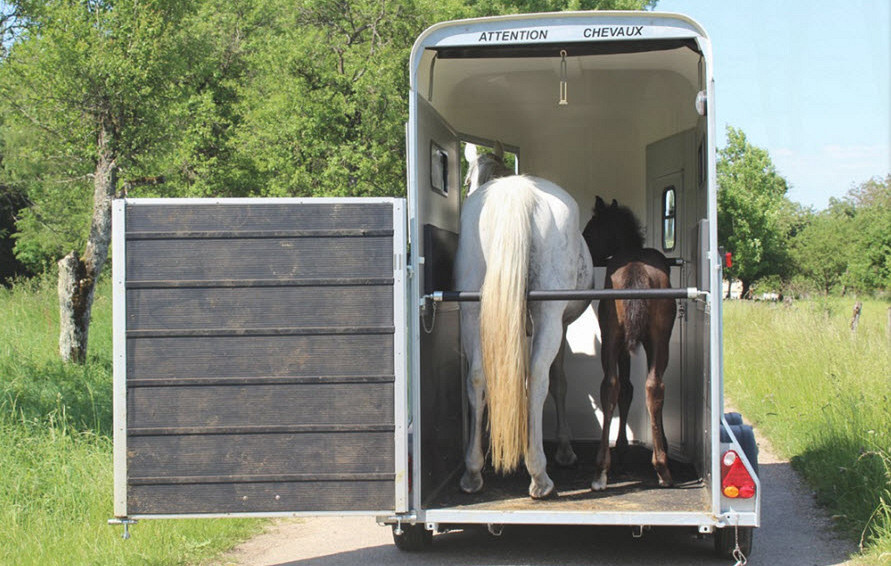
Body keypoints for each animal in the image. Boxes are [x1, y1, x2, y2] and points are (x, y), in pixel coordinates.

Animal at [456, 143, 594, 499]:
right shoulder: (562, 324)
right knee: (538, 379)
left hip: (471, 311)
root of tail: (517, 193)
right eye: (467, 181)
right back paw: (539, 474)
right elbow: (557, 382)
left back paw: (473, 471)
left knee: (477, 378)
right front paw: (565, 450)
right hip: (549, 317)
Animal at [582, 196, 677, 490]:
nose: (586, 252)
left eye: (591, 228)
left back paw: (602, 470)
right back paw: (661, 467)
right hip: (658, 339)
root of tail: (637, 270)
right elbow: (629, 389)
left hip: (613, 338)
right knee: (651, 386)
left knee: (613, 386)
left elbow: (623, 389)